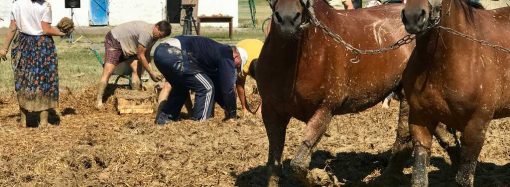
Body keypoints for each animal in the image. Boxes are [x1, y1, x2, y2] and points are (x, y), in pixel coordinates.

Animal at [256, 0, 460, 185]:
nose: (288, 19)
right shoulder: (271, 113)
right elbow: (273, 164)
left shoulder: (324, 110)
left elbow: (298, 164)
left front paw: (323, 179)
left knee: (404, 135)